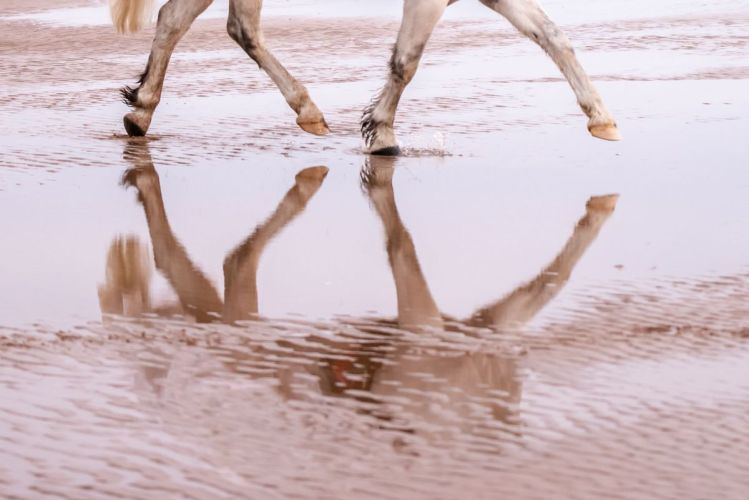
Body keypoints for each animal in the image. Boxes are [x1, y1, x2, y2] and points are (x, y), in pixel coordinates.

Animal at [112, 0, 620, 154]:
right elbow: (406, 62)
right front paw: (382, 134)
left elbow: (550, 35)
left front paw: (601, 119)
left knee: (191, 20)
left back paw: (141, 113)